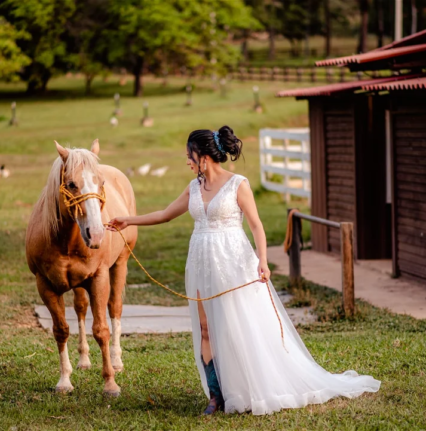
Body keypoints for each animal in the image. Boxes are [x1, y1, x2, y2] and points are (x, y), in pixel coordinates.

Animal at [25, 140, 137, 396]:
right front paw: (64, 380)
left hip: (120, 264)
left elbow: (101, 330)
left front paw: (110, 383)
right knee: (80, 308)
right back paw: (84, 360)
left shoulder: (98, 279)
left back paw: (117, 361)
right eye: (71, 184)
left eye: (101, 183)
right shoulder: (45, 285)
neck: (65, 242)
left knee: (115, 308)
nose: (95, 234)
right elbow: (61, 330)